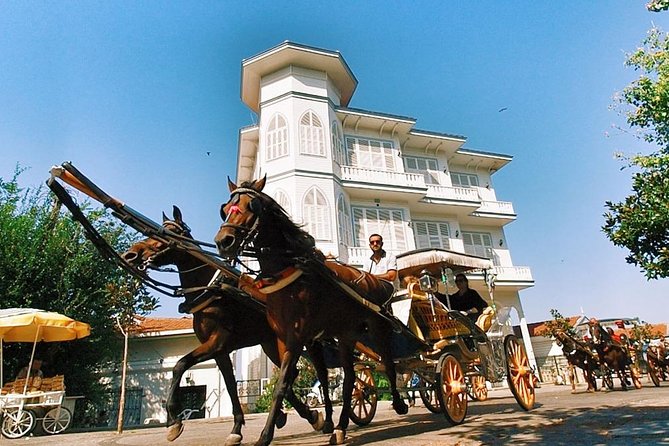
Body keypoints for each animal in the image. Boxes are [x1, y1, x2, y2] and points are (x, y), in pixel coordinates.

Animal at [120, 207, 334, 444]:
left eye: (170, 232)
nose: (131, 254)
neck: (212, 292)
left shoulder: (218, 342)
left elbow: (179, 365)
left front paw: (175, 421)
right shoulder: (220, 351)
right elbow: (231, 386)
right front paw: (236, 428)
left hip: (299, 340)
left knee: (314, 373)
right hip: (270, 343)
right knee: (291, 376)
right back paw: (296, 416)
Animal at [214, 178, 408, 446]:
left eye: (251, 206)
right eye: (225, 209)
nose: (224, 241)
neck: (289, 273)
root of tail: (371, 279)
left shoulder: (297, 338)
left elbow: (282, 384)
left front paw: (265, 435)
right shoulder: (288, 338)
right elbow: (302, 381)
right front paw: (319, 420)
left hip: (377, 327)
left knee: (387, 362)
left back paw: (398, 403)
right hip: (346, 333)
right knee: (350, 378)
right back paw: (341, 426)